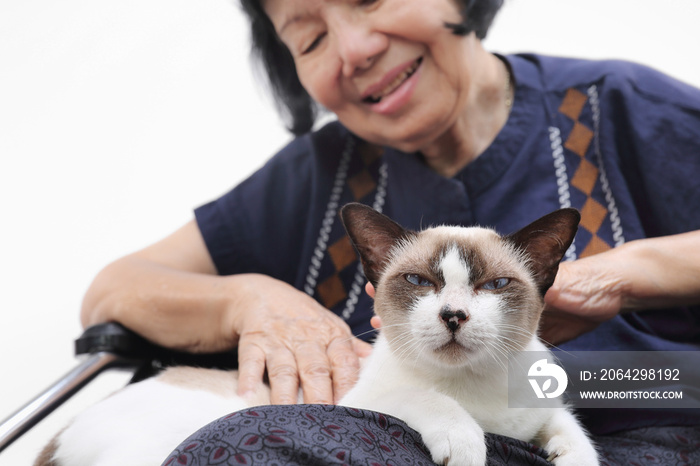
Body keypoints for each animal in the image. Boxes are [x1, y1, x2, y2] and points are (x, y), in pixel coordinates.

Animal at [38, 205, 596, 466]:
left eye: (495, 286)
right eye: (420, 282)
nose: (454, 315)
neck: (477, 392)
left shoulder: (542, 411)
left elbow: (573, 433)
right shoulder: (367, 399)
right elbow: (428, 401)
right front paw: (466, 443)